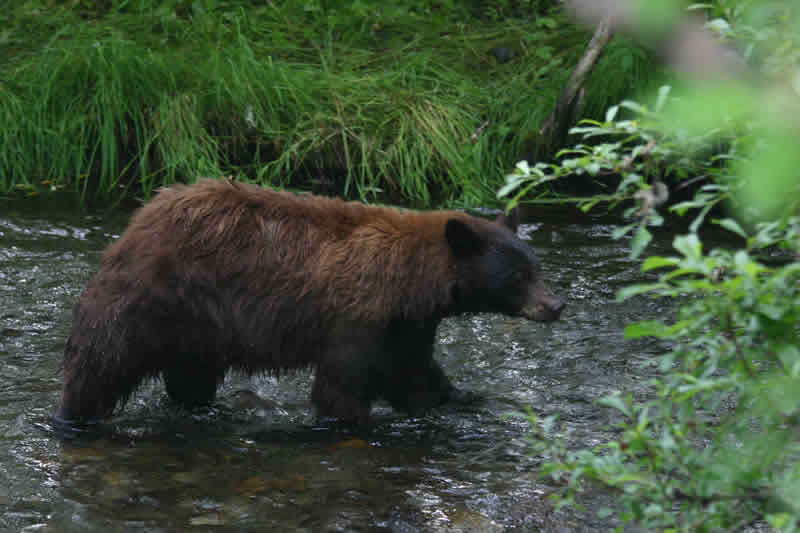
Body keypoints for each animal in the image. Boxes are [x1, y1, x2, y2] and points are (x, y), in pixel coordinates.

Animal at [54, 179, 564, 424]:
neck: (410, 283)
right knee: (102, 364)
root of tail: (138, 220)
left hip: (196, 328)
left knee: (189, 377)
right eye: (519, 276)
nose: (556, 305)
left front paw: (462, 396)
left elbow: (416, 375)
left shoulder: (407, 326)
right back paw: (75, 417)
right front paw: (355, 418)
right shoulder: (358, 315)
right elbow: (341, 386)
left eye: (536, 266)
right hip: (150, 300)